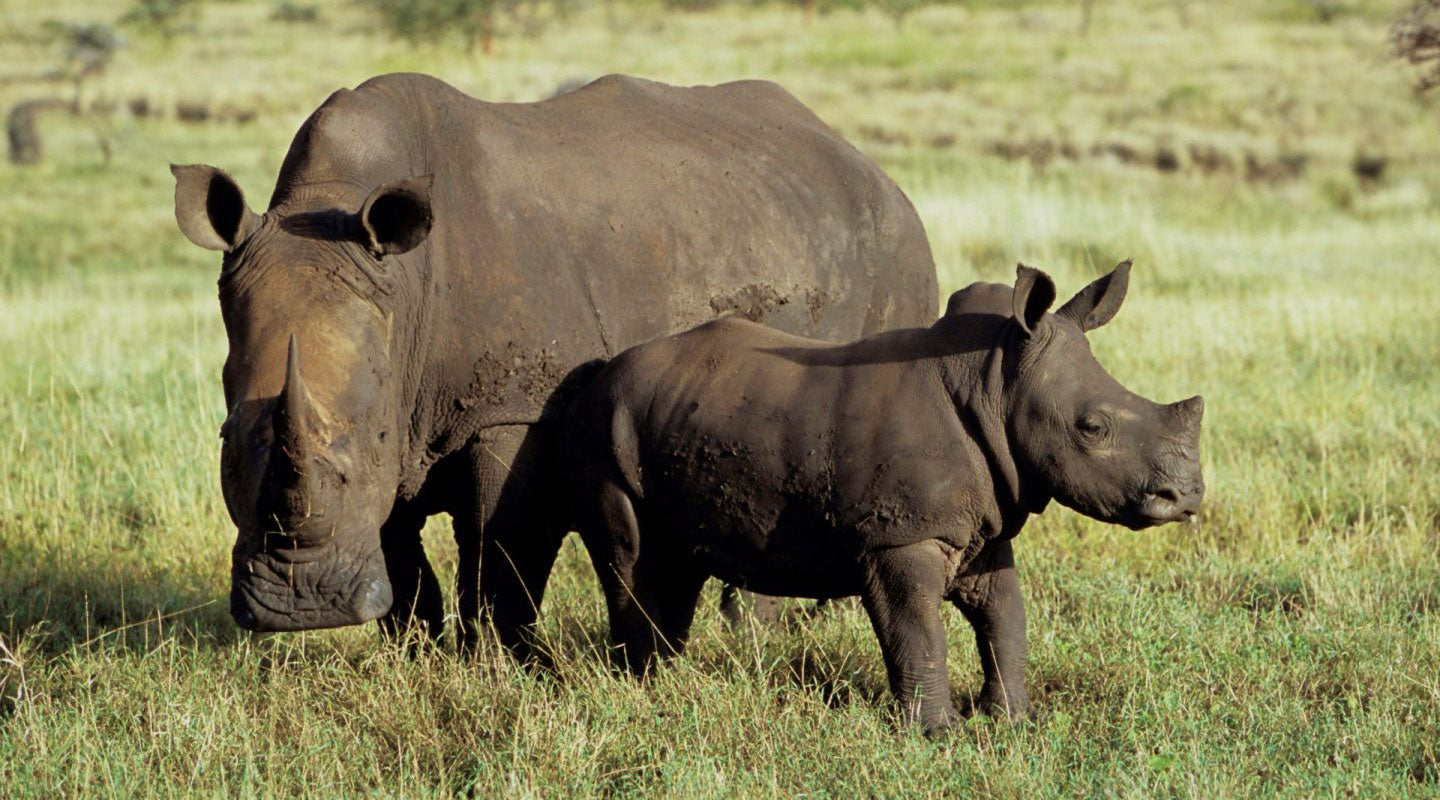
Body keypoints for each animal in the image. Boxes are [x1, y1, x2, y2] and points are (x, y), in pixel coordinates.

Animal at [171, 72, 937, 653]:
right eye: (227, 442)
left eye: (374, 438)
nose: (301, 609)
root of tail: (872, 166)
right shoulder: (392, 386)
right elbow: (400, 552)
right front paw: (412, 657)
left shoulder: (513, 409)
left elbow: (500, 548)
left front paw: (497, 665)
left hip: (895, 250)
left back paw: (752, 639)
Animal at [563, 261, 1204, 733]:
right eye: (1091, 428)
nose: (1188, 496)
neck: (995, 381)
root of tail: (602, 374)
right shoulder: (899, 535)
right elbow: (918, 630)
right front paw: (938, 734)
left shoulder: (983, 525)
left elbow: (1006, 619)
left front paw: (1013, 721)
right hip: (605, 434)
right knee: (633, 559)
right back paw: (642, 688)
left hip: (668, 416)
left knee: (676, 561)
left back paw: (668, 679)